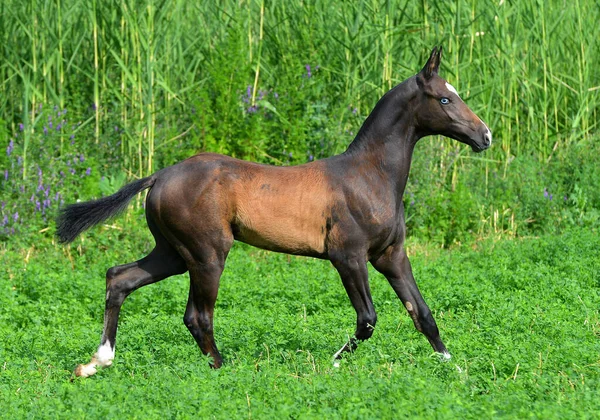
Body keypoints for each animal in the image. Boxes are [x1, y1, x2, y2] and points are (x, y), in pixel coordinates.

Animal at [56, 46, 492, 378]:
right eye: (445, 98)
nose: (484, 135)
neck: (370, 175)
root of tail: (160, 175)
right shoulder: (348, 256)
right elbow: (367, 319)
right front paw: (333, 361)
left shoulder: (391, 255)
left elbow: (422, 313)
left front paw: (455, 368)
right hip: (207, 254)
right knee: (197, 316)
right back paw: (222, 368)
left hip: (173, 253)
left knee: (120, 278)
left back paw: (95, 363)